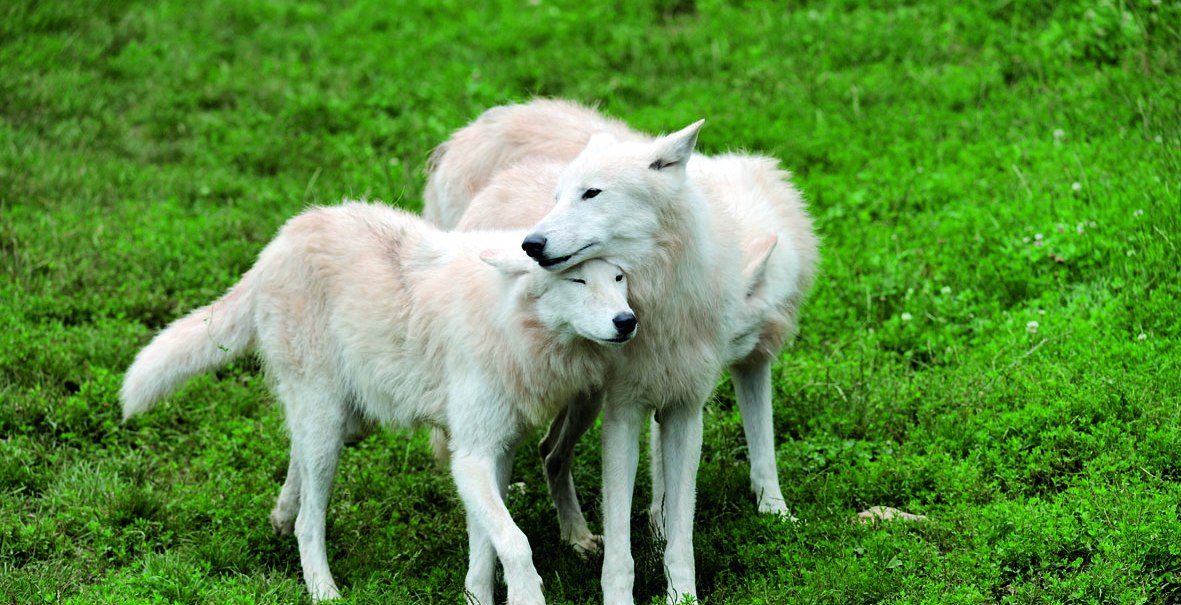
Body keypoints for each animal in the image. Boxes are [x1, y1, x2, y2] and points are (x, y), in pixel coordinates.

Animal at [119, 200, 637, 602]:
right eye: (577, 282)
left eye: (618, 278)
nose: (627, 321)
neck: (511, 323)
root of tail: (277, 245)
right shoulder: (470, 457)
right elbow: (514, 542)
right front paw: (526, 595)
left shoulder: (495, 452)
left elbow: (485, 550)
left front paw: (475, 596)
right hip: (330, 428)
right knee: (310, 520)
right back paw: (323, 590)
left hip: (339, 423)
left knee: (295, 461)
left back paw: (279, 518)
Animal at [425, 100, 821, 605]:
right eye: (558, 197)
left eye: (592, 193)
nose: (530, 244)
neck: (658, 297)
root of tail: (461, 138)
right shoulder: (624, 413)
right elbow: (620, 542)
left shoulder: (690, 406)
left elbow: (690, 521)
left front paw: (686, 588)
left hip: (583, 398)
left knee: (550, 451)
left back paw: (574, 538)